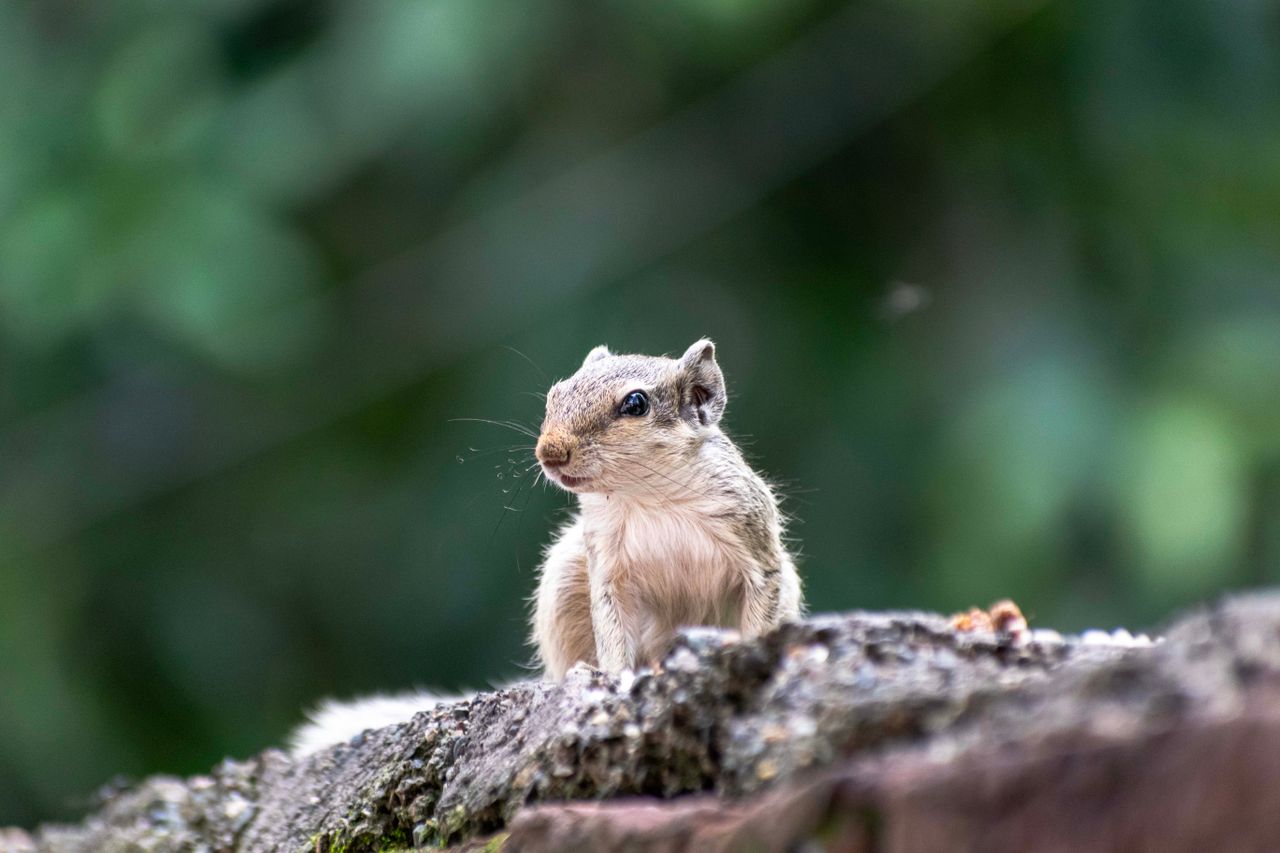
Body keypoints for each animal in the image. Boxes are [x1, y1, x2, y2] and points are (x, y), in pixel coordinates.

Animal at [289, 339, 802, 756]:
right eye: (556, 394)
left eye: (635, 403)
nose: (549, 452)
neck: (647, 497)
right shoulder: (605, 570)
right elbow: (612, 631)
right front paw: (614, 681)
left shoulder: (755, 547)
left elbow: (760, 610)